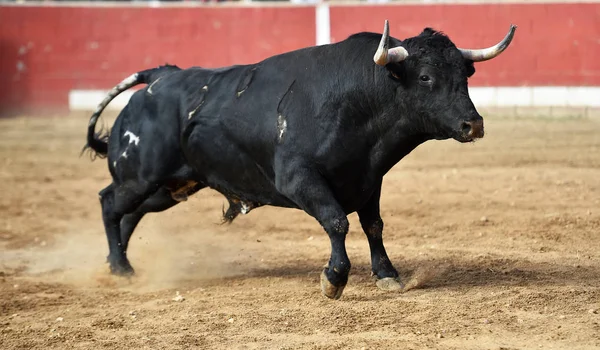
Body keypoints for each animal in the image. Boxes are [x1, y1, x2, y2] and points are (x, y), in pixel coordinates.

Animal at [83, 21, 516, 298]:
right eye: (425, 77)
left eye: (465, 74)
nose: (472, 124)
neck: (357, 101)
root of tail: (159, 76)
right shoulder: (299, 179)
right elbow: (337, 221)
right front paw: (334, 279)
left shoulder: (369, 179)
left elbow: (373, 226)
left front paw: (387, 274)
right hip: (139, 177)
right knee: (109, 203)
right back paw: (120, 267)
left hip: (172, 185)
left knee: (130, 214)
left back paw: (119, 264)